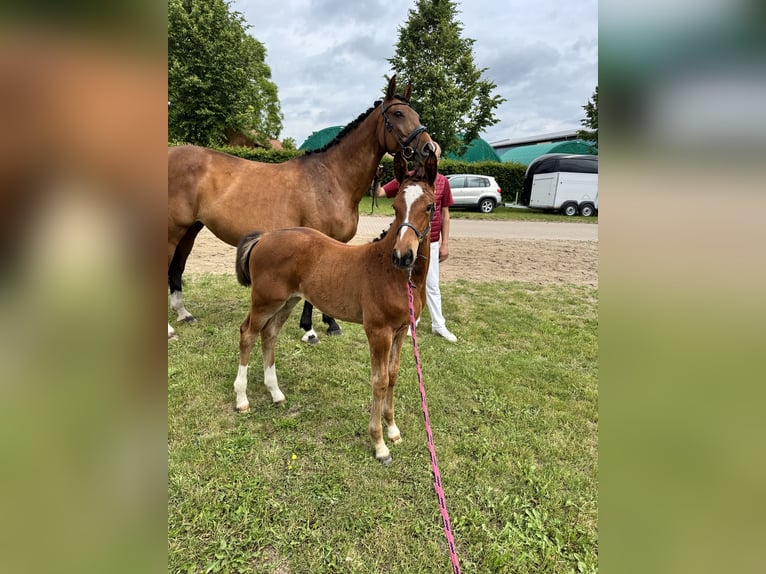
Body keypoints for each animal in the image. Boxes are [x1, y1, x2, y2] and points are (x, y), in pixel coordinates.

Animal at [168, 75, 433, 341]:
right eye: (398, 113)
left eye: (416, 114)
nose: (429, 148)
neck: (333, 177)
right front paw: (309, 329)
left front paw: (331, 323)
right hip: (173, 231)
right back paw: (170, 329)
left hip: (190, 229)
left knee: (177, 267)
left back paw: (183, 313)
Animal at [232, 150, 437, 463]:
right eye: (395, 206)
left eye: (429, 206)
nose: (403, 255)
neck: (394, 274)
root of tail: (264, 237)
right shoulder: (378, 331)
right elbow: (379, 380)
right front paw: (379, 444)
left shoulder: (402, 329)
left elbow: (393, 374)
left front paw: (393, 429)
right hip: (264, 300)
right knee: (248, 334)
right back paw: (242, 399)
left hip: (287, 301)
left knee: (270, 335)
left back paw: (275, 393)